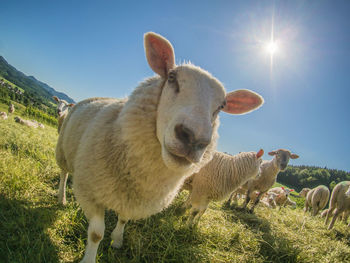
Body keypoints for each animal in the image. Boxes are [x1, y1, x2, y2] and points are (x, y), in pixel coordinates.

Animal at [54, 31, 264, 263]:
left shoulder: (132, 199)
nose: (193, 138)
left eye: (222, 105)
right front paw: (90, 256)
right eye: (171, 78)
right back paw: (62, 198)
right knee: (64, 173)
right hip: (63, 152)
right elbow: (96, 234)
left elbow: (124, 219)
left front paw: (117, 240)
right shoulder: (91, 193)